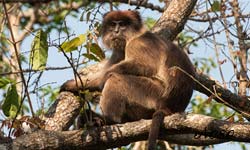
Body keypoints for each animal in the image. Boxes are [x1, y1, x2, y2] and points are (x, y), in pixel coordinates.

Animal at [61, 9, 195, 149]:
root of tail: (171, 107)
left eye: (122, 24)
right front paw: (72, 84)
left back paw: (108, 120)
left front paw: (103, 80)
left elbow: (144, 66)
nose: (116, 31)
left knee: (115, 79)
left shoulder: (138, 44)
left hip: (153, 94)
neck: (134, 36)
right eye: (113, 24)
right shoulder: (119, 51)